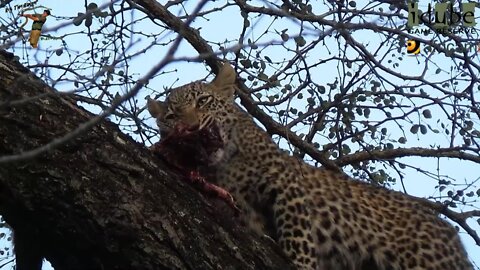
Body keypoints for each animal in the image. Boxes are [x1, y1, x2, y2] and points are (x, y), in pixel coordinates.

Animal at [147, 62, 472, 270]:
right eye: (172, 117)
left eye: (203, 101)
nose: (190, 127)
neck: (226, 164)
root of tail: (451, 234)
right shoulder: (245, 211)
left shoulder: (287, 185)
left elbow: (298, 237)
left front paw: (301, 263)